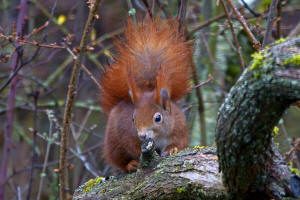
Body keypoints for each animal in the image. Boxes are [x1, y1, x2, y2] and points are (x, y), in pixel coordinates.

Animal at [100, 16, 192, 172]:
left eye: (158, 118)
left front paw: (172, 149)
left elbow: (180, 143)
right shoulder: (128, 134)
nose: (142, 135)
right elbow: (133, 147)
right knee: (118, 159)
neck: (158, 137)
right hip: (113, 143)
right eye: (132, 119)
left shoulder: (179, 129)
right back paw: (130, 164)